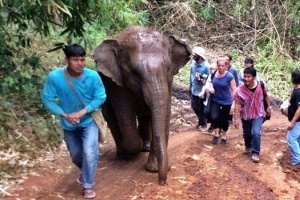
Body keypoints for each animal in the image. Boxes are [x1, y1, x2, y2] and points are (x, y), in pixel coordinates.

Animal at [92, 25, 191, 185]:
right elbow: (124, 111)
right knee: (111, 116)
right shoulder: (117, 82)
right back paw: (123, 152)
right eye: (135, 72)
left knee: (145, 115)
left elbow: (165, 109)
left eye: (168, 69)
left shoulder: (169, 81)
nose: (162, 182)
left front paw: (153, 169)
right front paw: (133, 149)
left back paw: (145, 147)